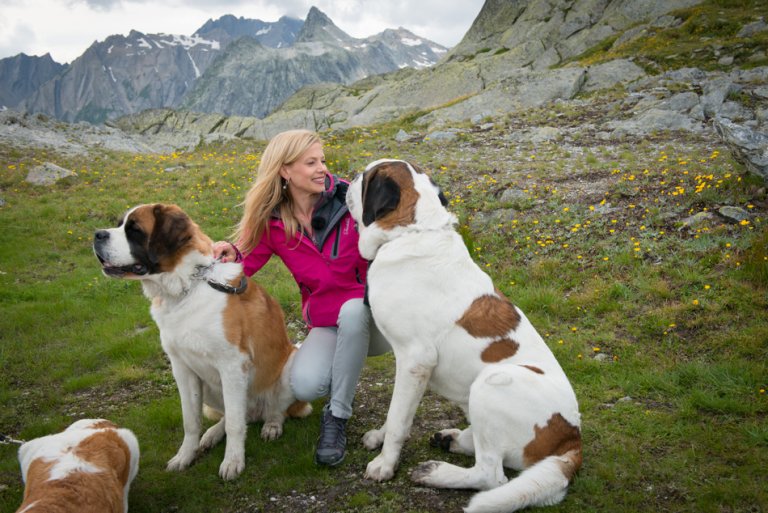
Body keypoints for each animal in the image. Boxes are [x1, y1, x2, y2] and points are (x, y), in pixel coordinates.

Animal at [94, 202, 312, 478]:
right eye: (120, 224)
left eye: (134, 230)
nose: (97, 234)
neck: (188, 288)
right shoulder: (182, 369)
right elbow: (191, 420)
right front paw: (184, 456)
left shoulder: (232, 366)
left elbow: (235, 424)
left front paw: (232, 462)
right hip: (209, 388)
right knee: (237, 415)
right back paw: (211, 435)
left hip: (288, 364)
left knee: (274, 410)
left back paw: (272, 425)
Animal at [346, 161, 584, 512]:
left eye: (364, 177)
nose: (347, 179)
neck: (412, 231)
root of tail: (572, 439)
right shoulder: (409, 369)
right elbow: (399, 410)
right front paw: (379, 436)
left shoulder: (415, 360)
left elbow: (399, 418)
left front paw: (384, 464)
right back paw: (453, 439)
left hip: (491, 383)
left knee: (492, 476)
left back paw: (435, 472)